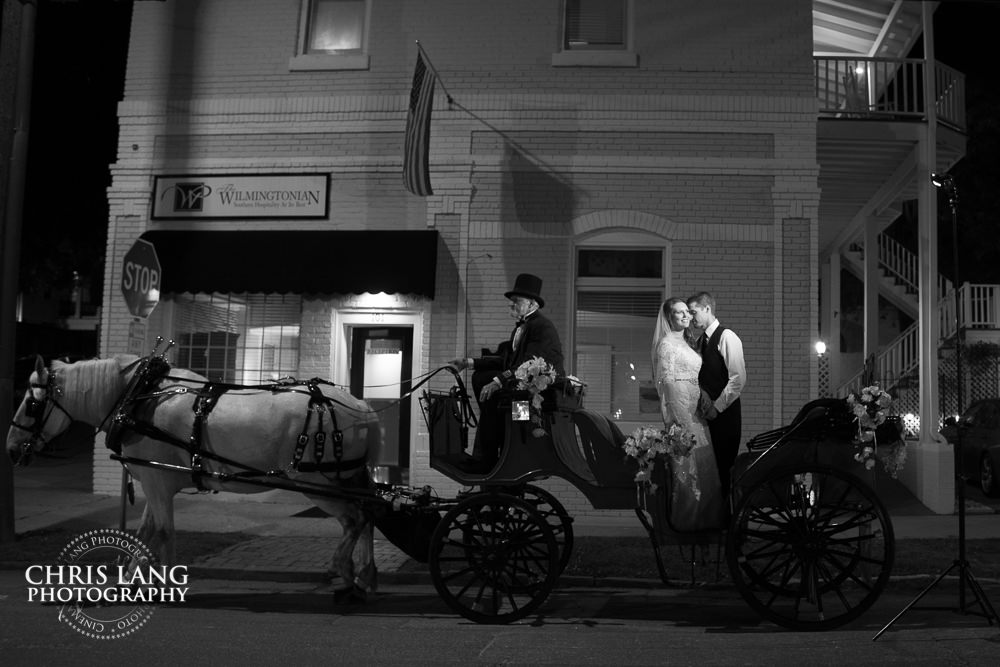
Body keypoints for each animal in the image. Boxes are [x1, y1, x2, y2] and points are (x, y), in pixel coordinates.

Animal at [6, 354, 382, 600]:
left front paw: (168, 585)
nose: (10, 449)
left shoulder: (156, 483)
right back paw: (365, 575)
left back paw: (344, 571)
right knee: (367, 516)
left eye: (31, 403)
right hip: (346, 479)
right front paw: (128, 581)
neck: (140, 398)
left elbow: (163, 532)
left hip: (319, 484)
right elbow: (146, 532)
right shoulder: (155, 480)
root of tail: (363, 408)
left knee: (355, 519)